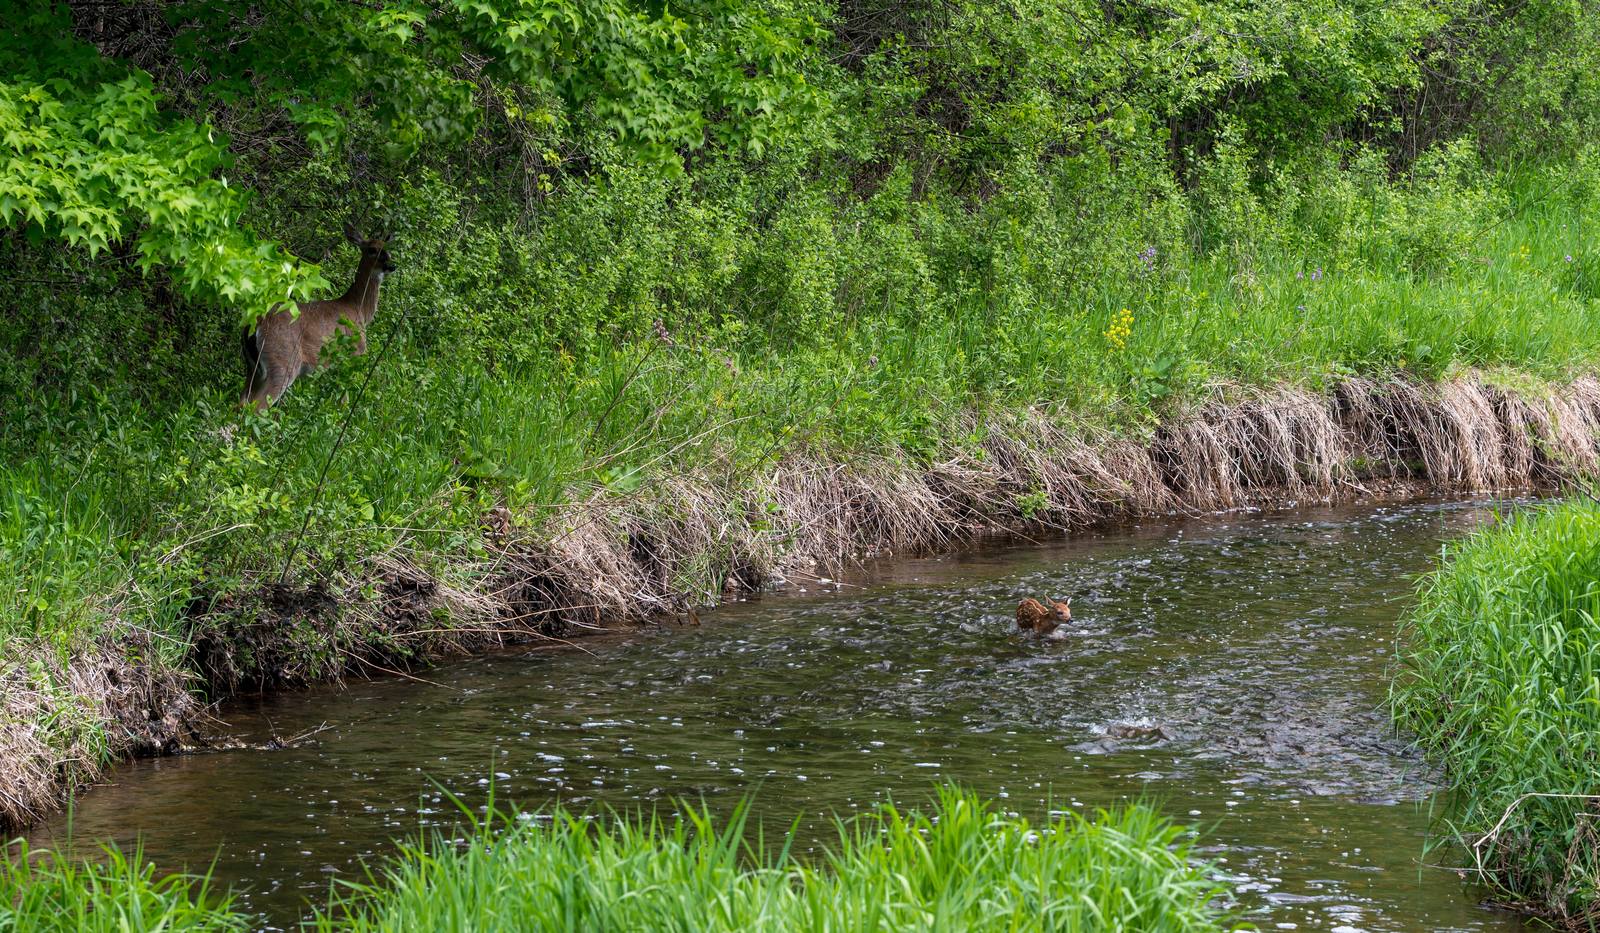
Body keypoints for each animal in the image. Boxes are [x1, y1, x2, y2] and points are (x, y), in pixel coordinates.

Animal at [241, 223, 396, 410]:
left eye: (389, 249)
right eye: (372, 250)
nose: (392, 265)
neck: (358, 310)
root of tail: (256, 324)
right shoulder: (351, 357)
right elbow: (343, 402)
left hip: (252, 368)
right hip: (282, 362)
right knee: (257, 407)